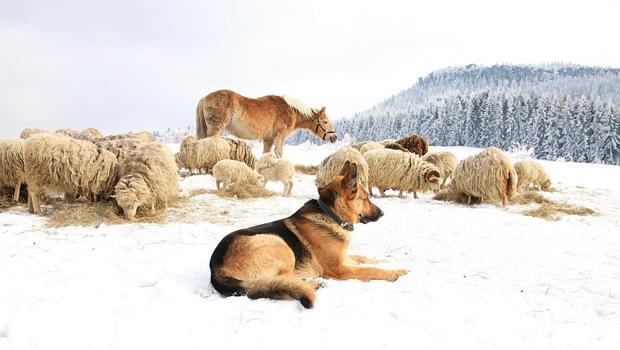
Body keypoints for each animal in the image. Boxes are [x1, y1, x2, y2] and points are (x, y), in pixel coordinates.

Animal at [196, 89, 336, 157]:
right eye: (325, 121)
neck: (289, 109)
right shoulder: (280, 136)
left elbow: (266, 154)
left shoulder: (269, 139)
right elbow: (278, 153)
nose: (334, 137)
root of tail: (205, 98)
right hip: (216, 130)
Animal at [211, 160, 410, 308]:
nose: (383, 213)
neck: (331, 214)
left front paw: (385, 261)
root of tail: (216, 266)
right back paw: (311, 284)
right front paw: (396, 272)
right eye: (366, 197)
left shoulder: (343, 258)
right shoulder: (339, 269)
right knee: (276, 281)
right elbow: (371, 270)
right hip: (279, 244)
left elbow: (364, 258)